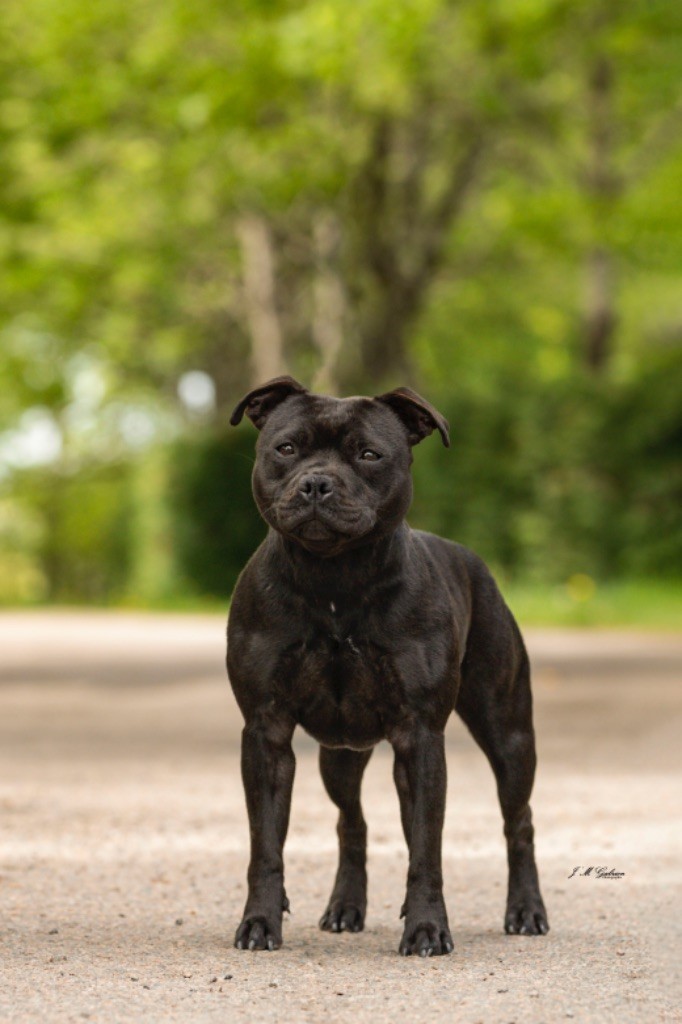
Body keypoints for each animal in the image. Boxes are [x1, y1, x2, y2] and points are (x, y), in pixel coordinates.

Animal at [225, 378, 544, 958]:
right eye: (286, 448)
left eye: (369, 455)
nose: (317, 484)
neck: (334, 578)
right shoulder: (266, 734)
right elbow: (266, 846)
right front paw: (259, 922)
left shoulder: (420, 739)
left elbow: (426, 850)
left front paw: (426, 928)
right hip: (338, 757)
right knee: (352, 822)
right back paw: (345, 907)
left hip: (509, 733)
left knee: (519, 821)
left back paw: (527, 910)